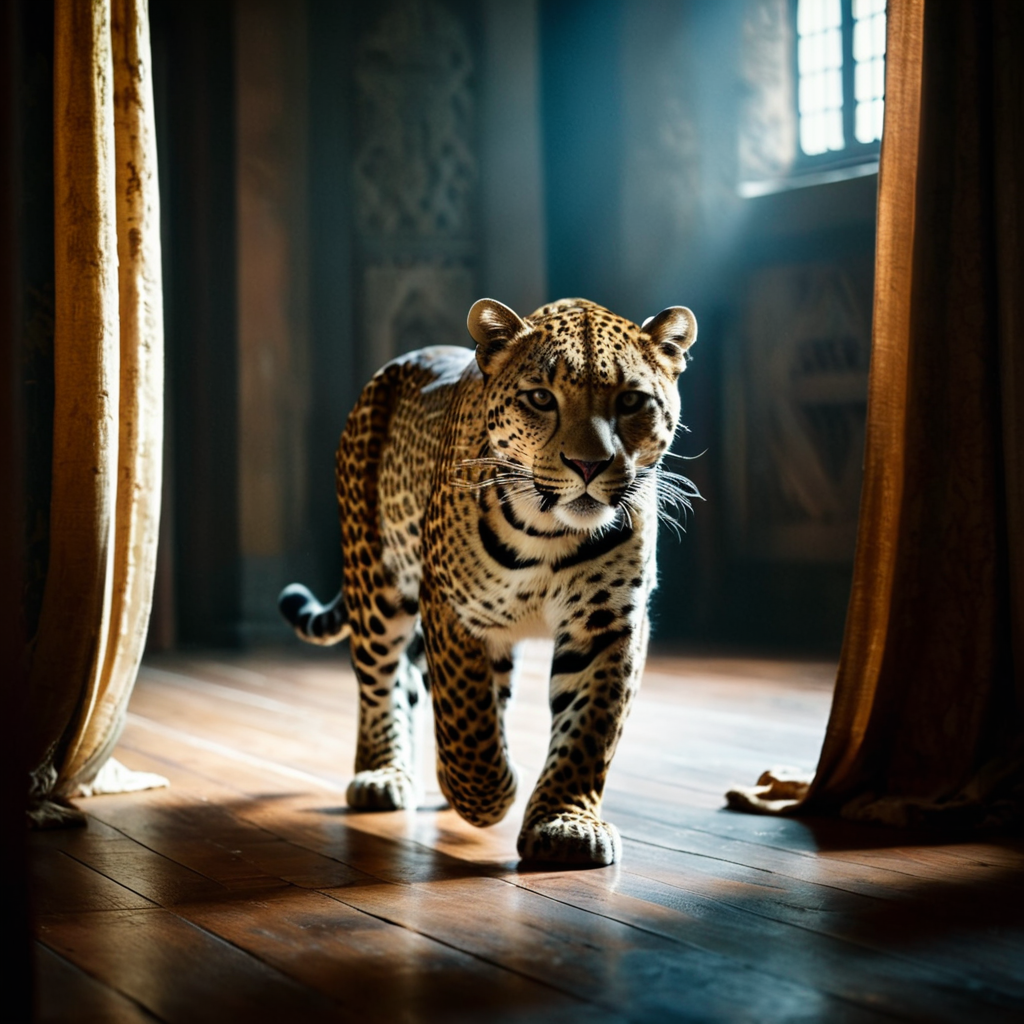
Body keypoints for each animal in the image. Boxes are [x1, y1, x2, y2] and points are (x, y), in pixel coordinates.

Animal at [279, 296, 698, 866]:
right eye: (541, 398)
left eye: (632, 401)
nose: (587, 465)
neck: (551, 530)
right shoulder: (451, 610)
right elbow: (466, 720)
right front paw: (486, 794)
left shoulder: (607, 622)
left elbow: (590, 727)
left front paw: (564, 823)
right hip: (374, 584)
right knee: (380, 679)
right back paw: (382, 774)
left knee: (426, 682)